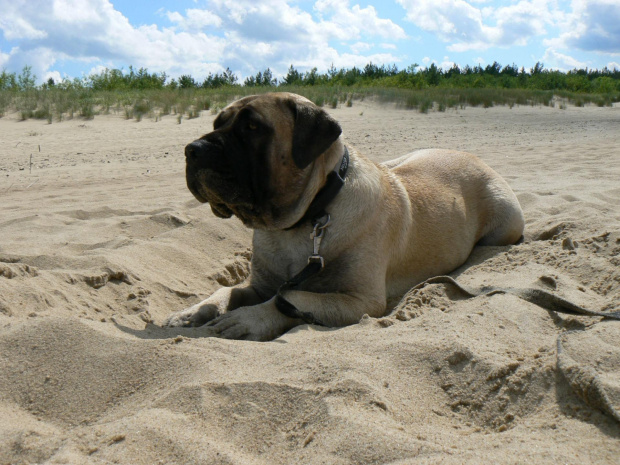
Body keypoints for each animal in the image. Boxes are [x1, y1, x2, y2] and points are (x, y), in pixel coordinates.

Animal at [163, 90, 524, 338]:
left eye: (252, 127)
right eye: (216, 123)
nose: (192, 149)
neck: (302, 221)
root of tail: (474, 157)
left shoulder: (361, 301)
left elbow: (295, 296)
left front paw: (249, 319)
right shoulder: (259, 284)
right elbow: (229, 291)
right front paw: (194, 311)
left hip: (505, 221)